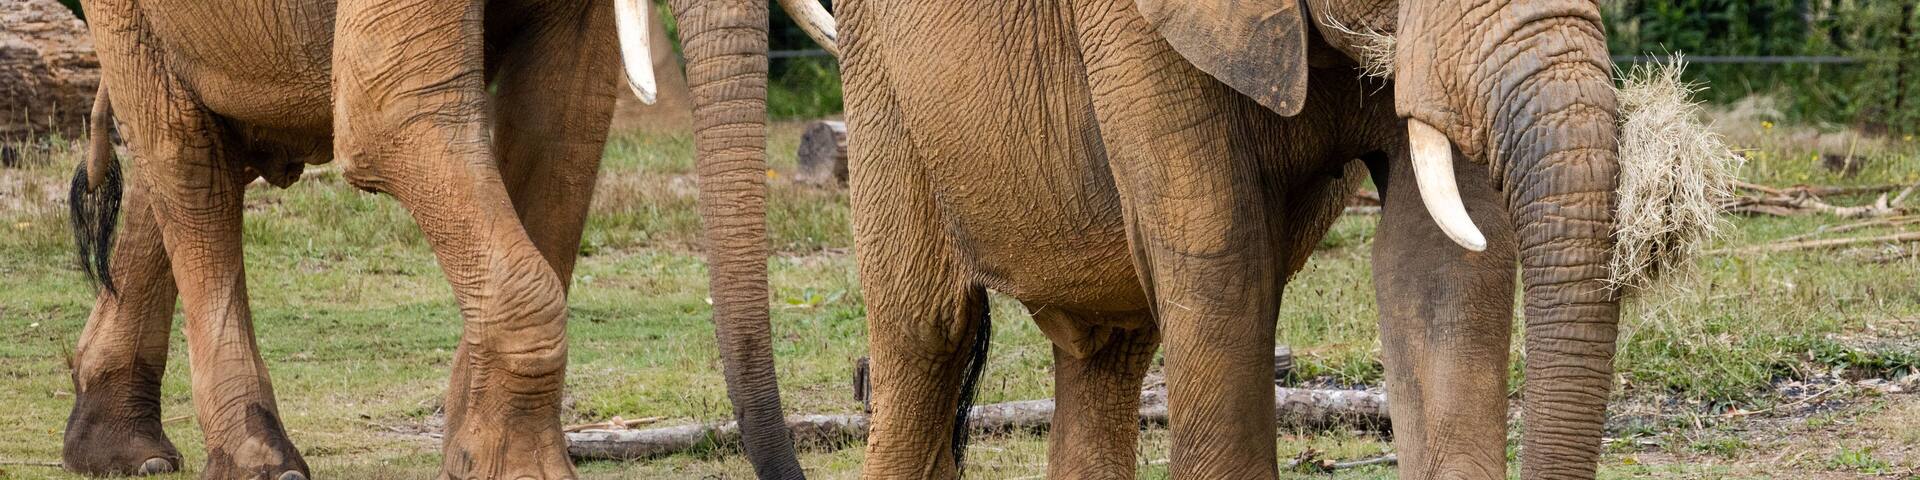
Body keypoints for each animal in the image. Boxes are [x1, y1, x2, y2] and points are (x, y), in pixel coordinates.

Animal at [59, 0, 832, 478]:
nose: (790, 469)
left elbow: (565, 119)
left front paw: (475, 457)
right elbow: (391, 115)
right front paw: (525, 471)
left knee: (204, 151)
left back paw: (124, 454)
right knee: (185, 158)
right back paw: (262, 465)